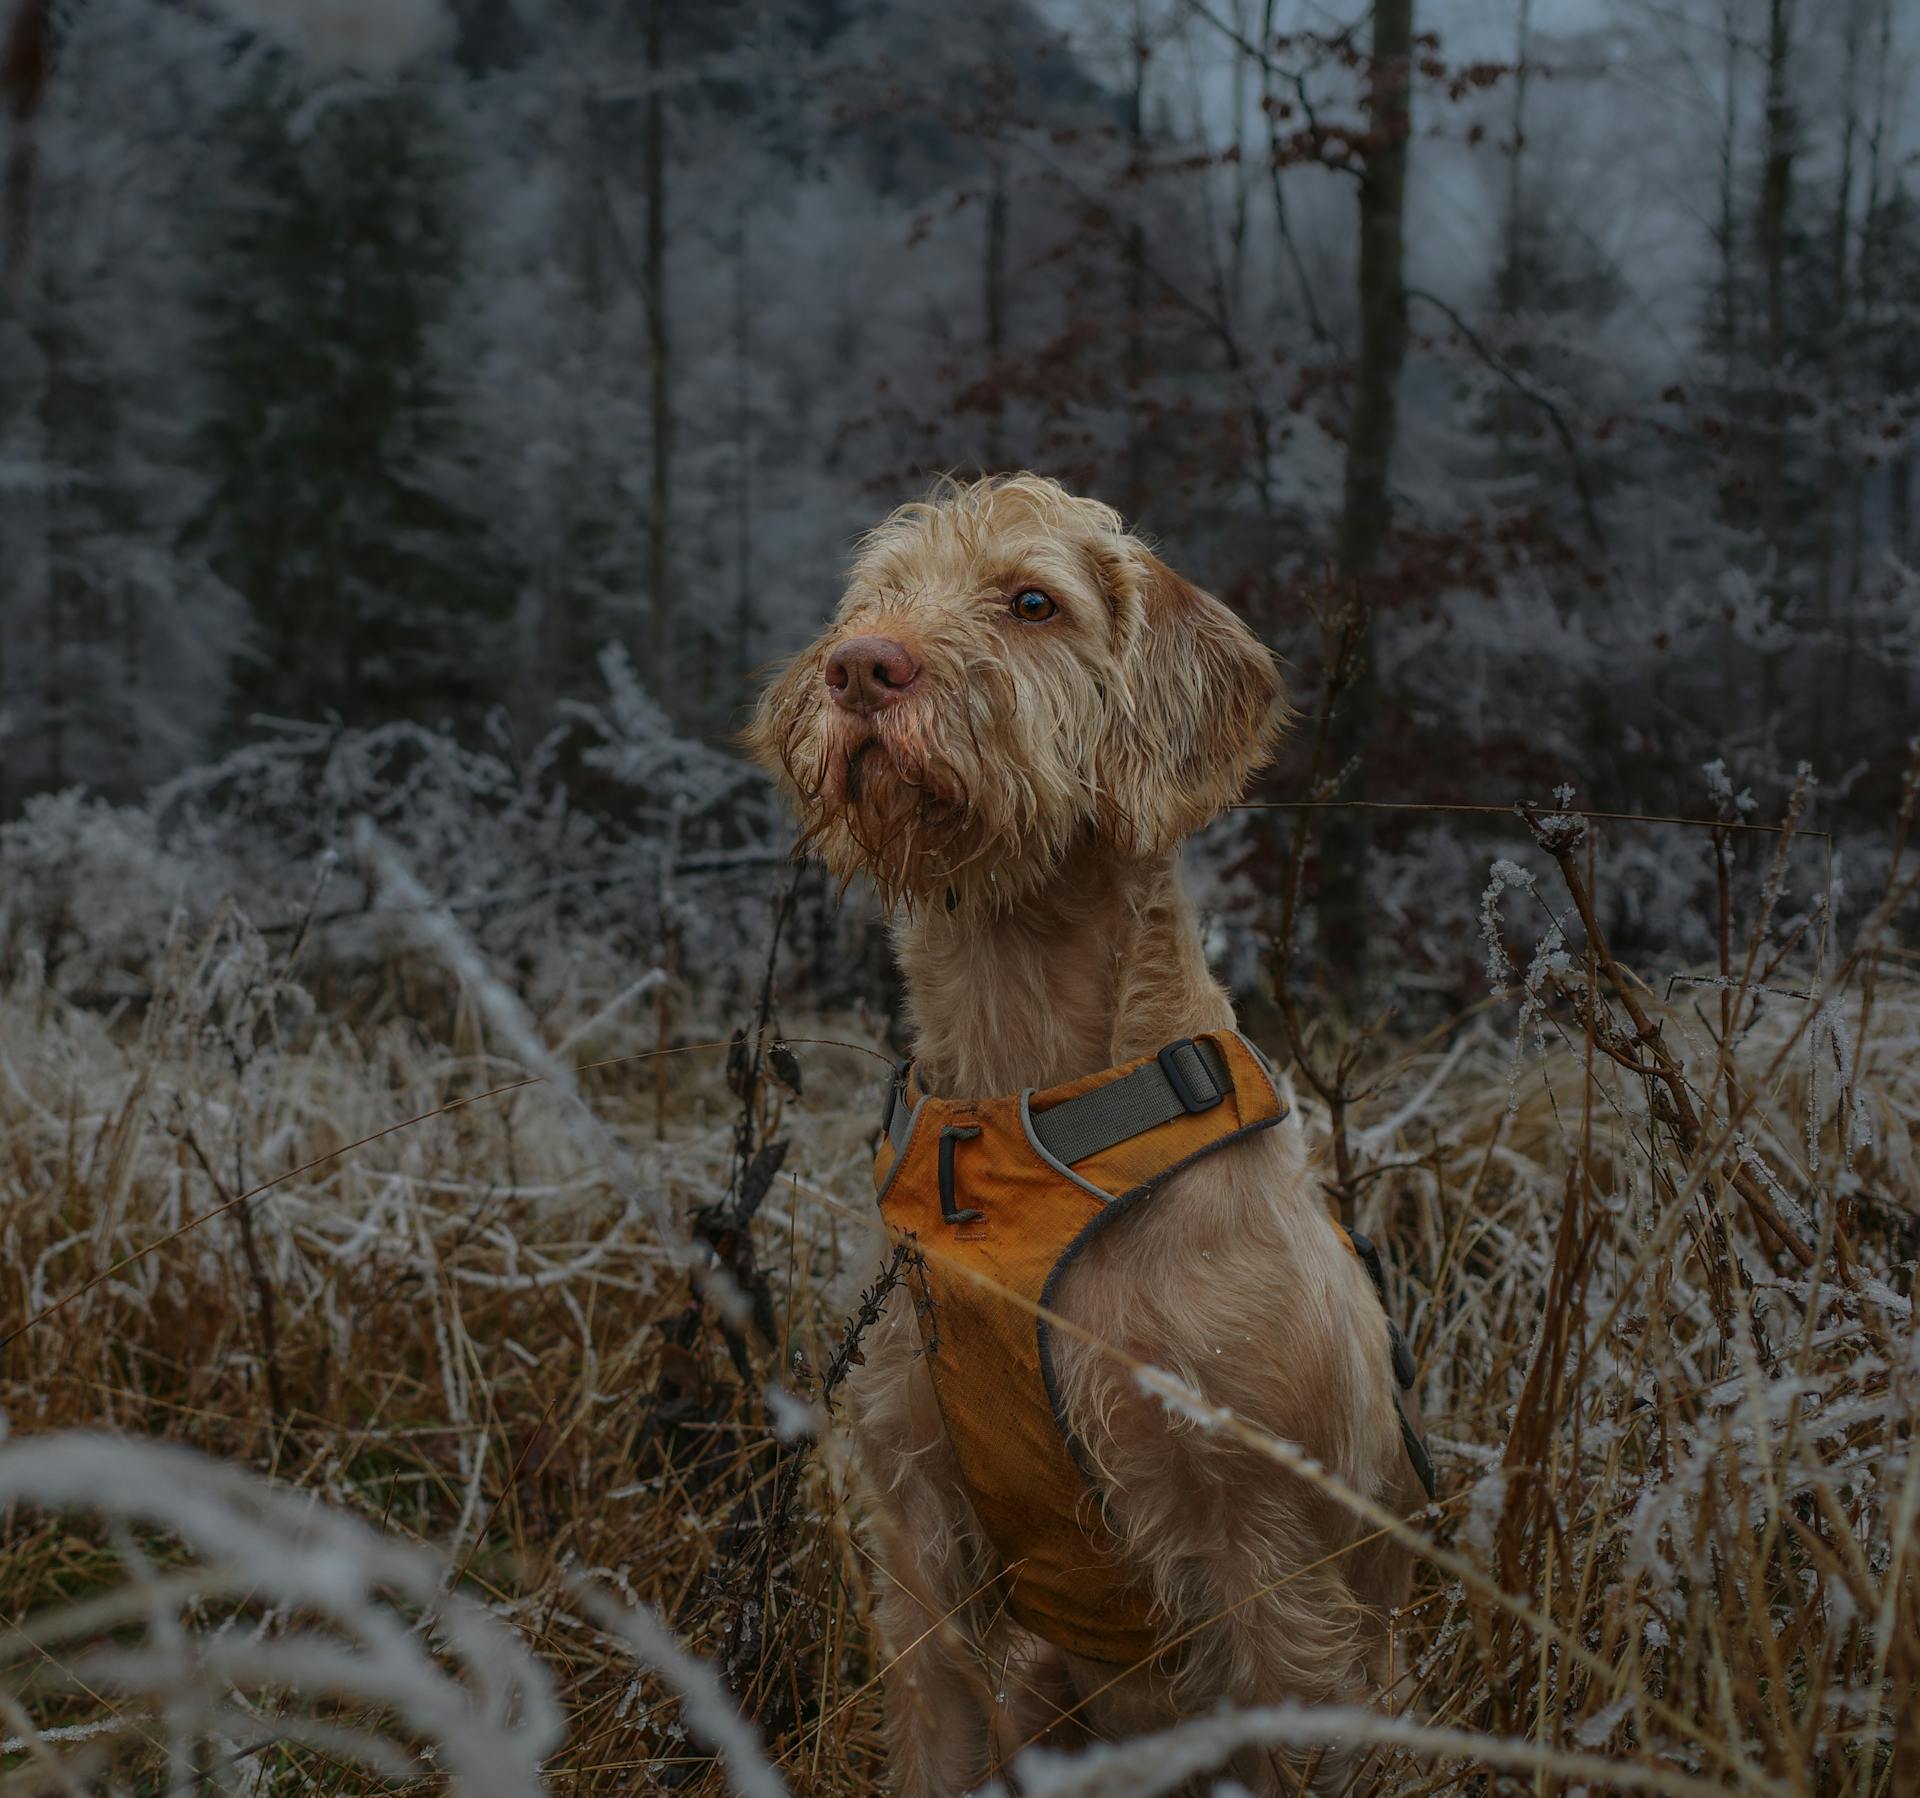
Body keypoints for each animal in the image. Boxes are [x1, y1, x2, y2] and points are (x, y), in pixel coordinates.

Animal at [741, 470, 1420, 1790]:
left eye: (1031, 602)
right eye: (878, 597)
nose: (860, 667)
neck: (1014, 1116)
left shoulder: (1273, 1565)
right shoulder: (918, 1533)